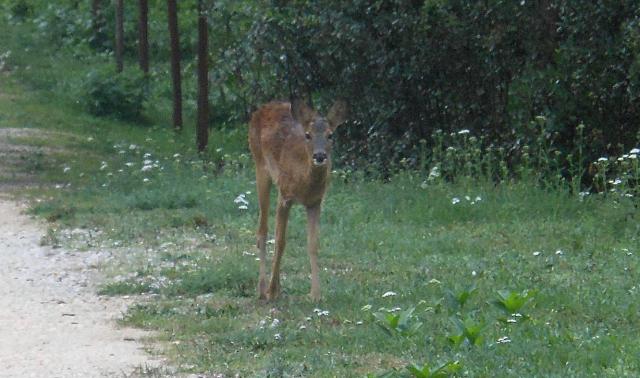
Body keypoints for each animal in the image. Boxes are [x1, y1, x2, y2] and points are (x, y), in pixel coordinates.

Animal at [249, 99, 348, 302]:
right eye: (308, 135)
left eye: (330, 135)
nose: (320, 156)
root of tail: (262, 108)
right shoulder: (284, 196)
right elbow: (280, 241)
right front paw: (272, 290)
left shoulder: (315, 202)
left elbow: (313, 244)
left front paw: (316, 294)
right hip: (260, 166)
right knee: (262, 230)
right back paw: (262, 289)